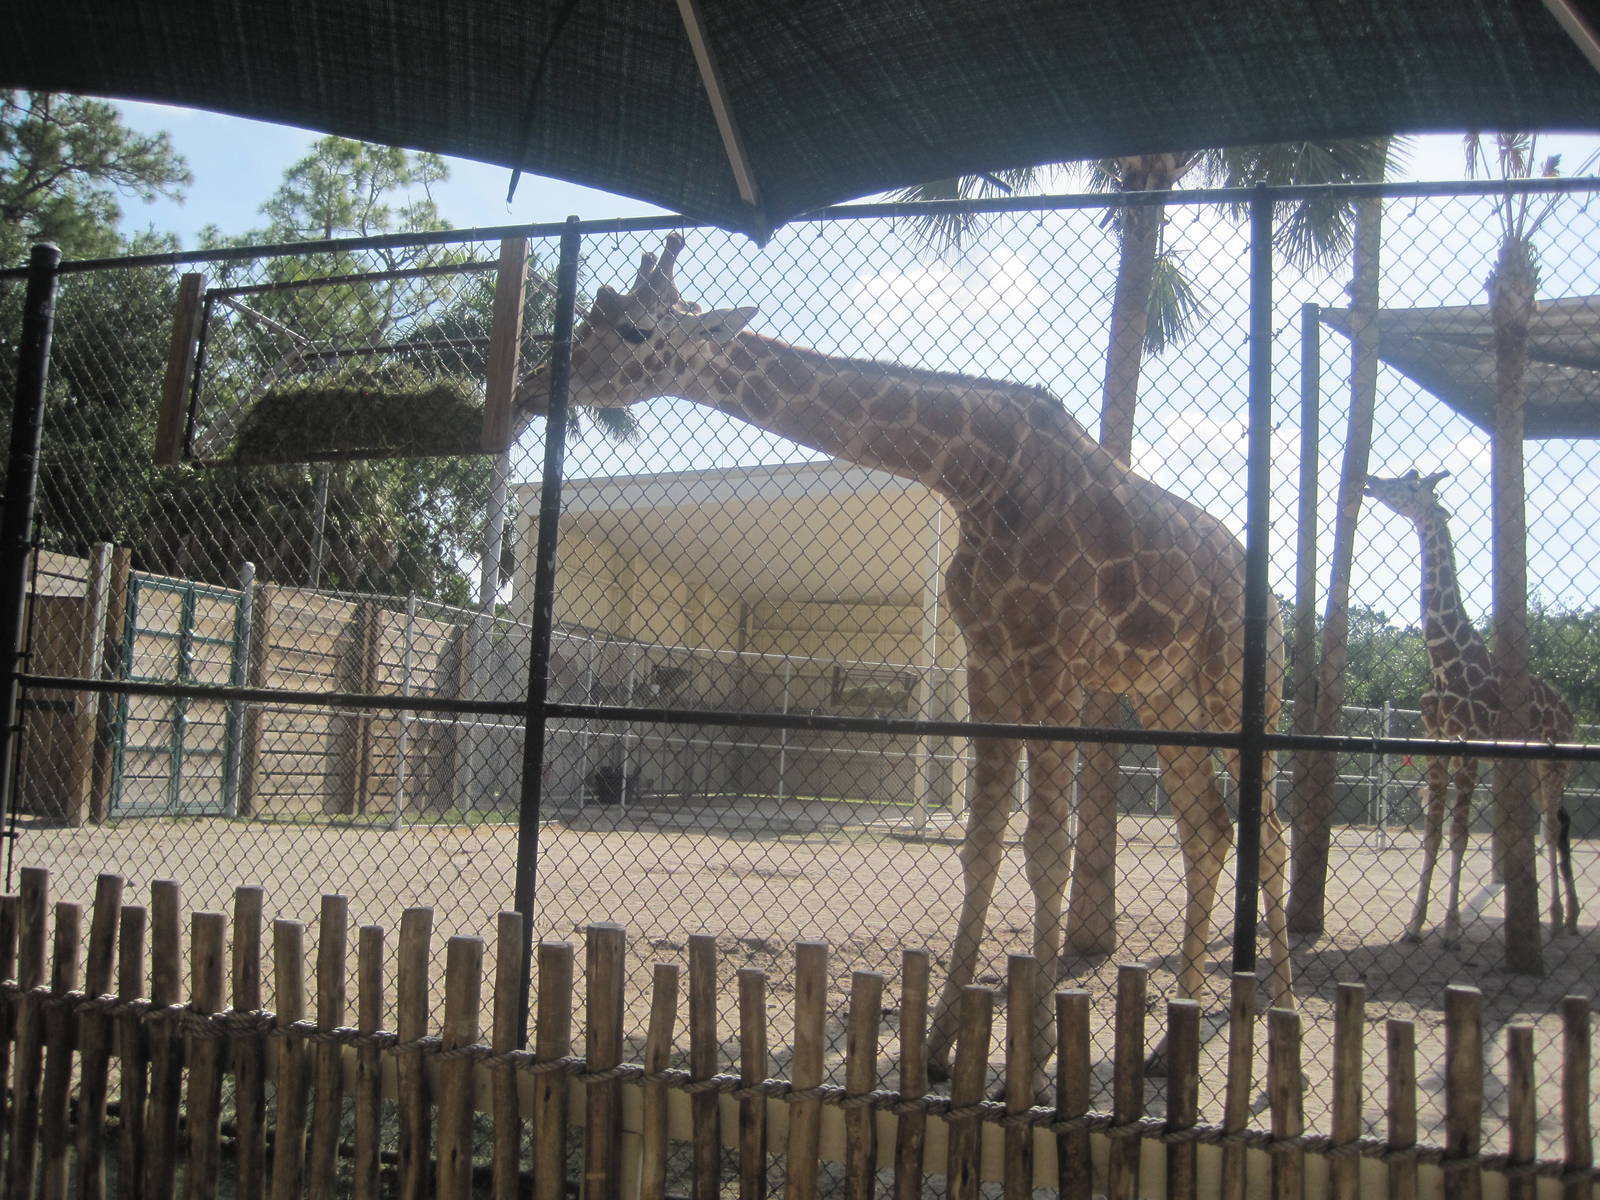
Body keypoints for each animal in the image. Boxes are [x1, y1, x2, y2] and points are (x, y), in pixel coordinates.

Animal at [517, 234, 1294, 1086]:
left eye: (632, 331)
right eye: (593, 315)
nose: (531, 385)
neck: (978, 474)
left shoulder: (1051, 658)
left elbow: (1046, 847)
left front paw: (1040, 1052)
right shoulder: (990, 660)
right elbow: (983, 845)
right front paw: (940, 1045)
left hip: (1236, 689)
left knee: (1268, 832)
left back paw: (1277, 1017)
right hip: (1165, 695)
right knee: (1208, 831)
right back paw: (1163, 1045)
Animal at [1362, 469, 1579, 944]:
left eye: (1411, 481)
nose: (1369, 479)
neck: (1444, 659)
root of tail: (1569, 712)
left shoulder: (1469, 743)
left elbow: (1459, 834)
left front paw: (1450, 929)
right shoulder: (1436, 742)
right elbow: (1432, 835)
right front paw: (1414, 925)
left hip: (1556, 759)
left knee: (1553, 827)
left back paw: (1558, 918)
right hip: (1533, 764)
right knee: (1549, 823)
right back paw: (1565, 917)